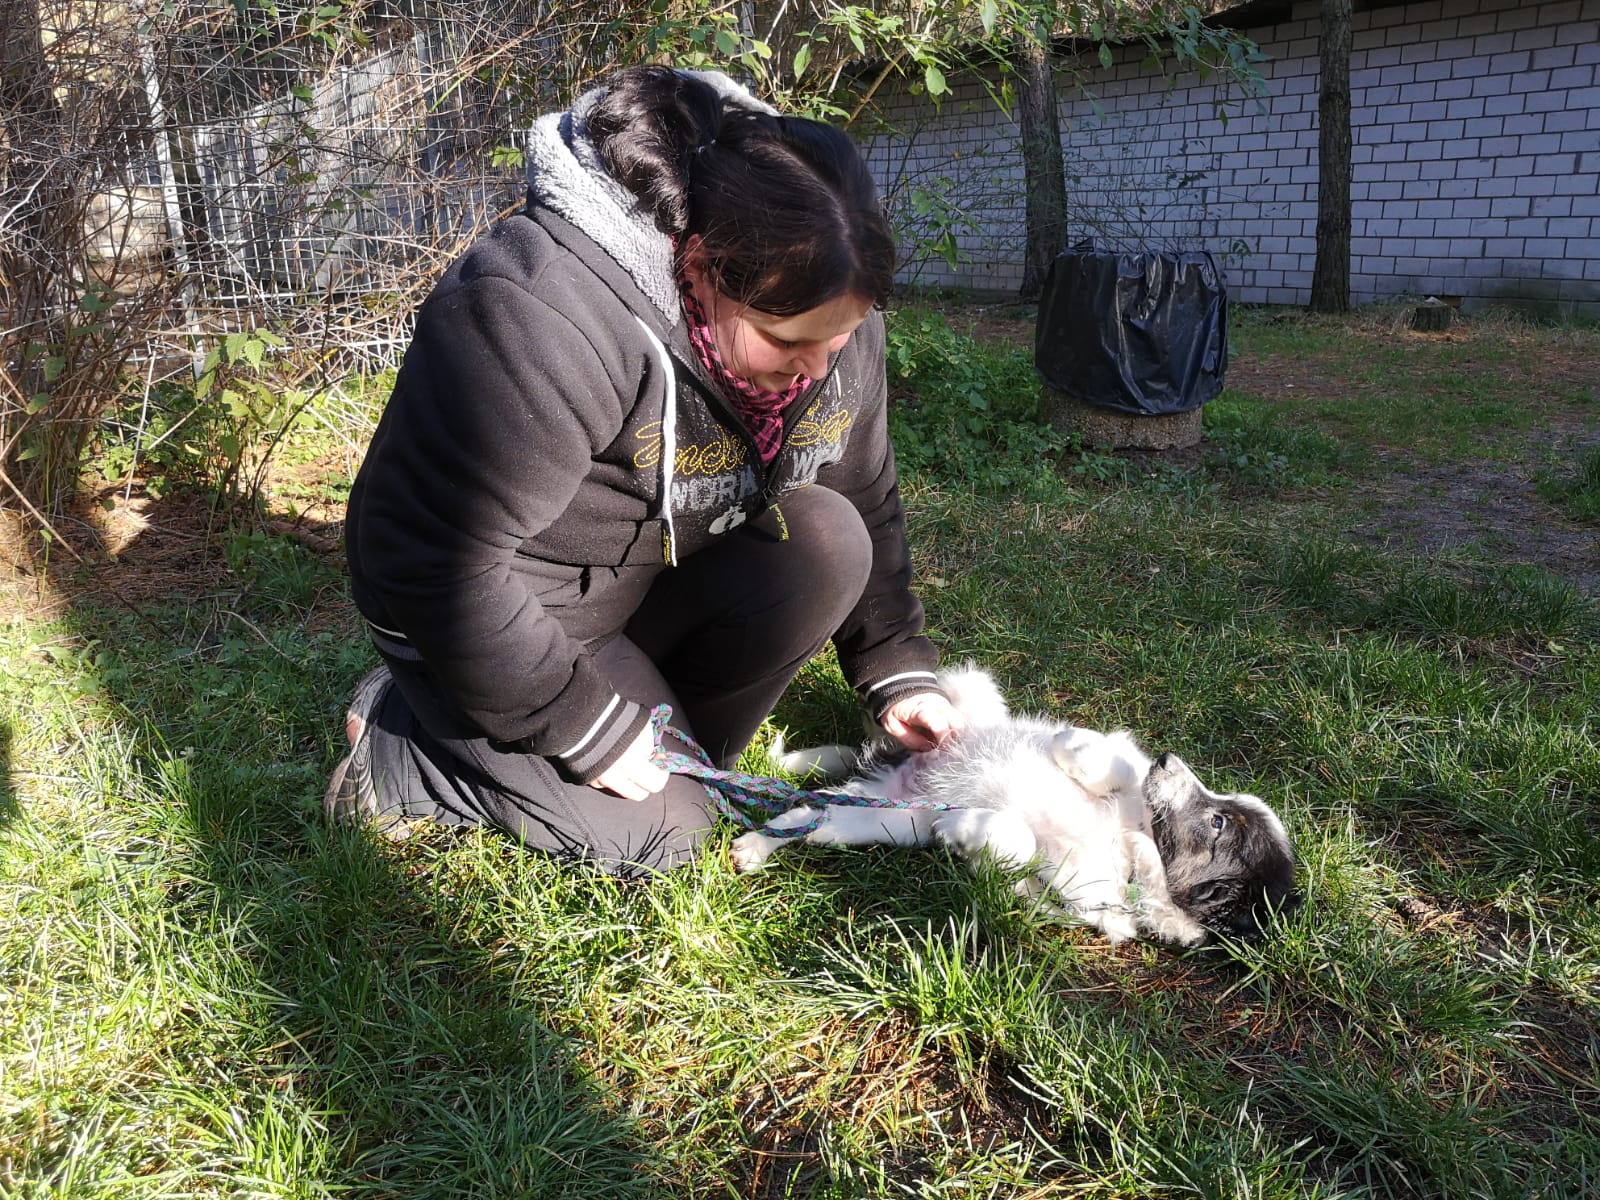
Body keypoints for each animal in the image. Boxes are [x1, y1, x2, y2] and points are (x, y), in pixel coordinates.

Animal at [730, 666, 1297, 946]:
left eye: (1218, 821)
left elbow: (1016, 846)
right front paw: (1074, 742)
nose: (1168, 757)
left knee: (811, 817)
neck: (1130, 836)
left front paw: (962, 826)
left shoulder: (1066, 888)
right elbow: (1114, 764)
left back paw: (755, 846)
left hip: (885, 818)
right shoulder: (1128, 770)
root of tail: (902, 765)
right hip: (965, 693)